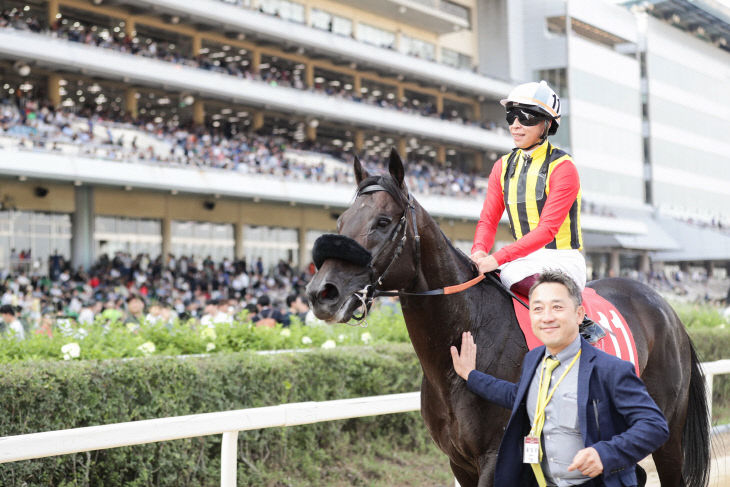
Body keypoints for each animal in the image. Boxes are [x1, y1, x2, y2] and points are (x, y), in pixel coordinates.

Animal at [304, 150, 708, 487]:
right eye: (341, 221)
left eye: (383, 221)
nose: (322, 292)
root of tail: (666, 308)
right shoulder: (459, 462)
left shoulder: (495, 457)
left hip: (667, 432)